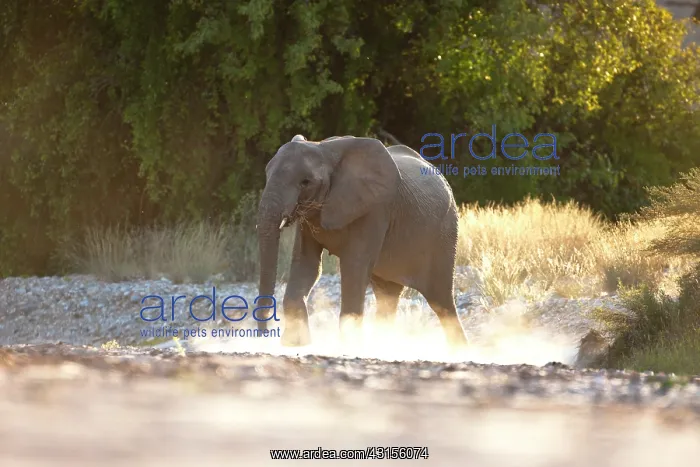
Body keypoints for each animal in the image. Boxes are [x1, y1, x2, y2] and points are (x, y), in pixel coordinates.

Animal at [255, 134, 469, 351]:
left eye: (305, 182)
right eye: (266, 173)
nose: (264, 336)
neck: (324, 149)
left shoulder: (375, 209)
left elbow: (354, 265)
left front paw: (347, 346)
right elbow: (307, 264)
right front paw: (296, 345)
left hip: (445, 233)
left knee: (441, 300)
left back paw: (459, 350)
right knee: (387, 296)